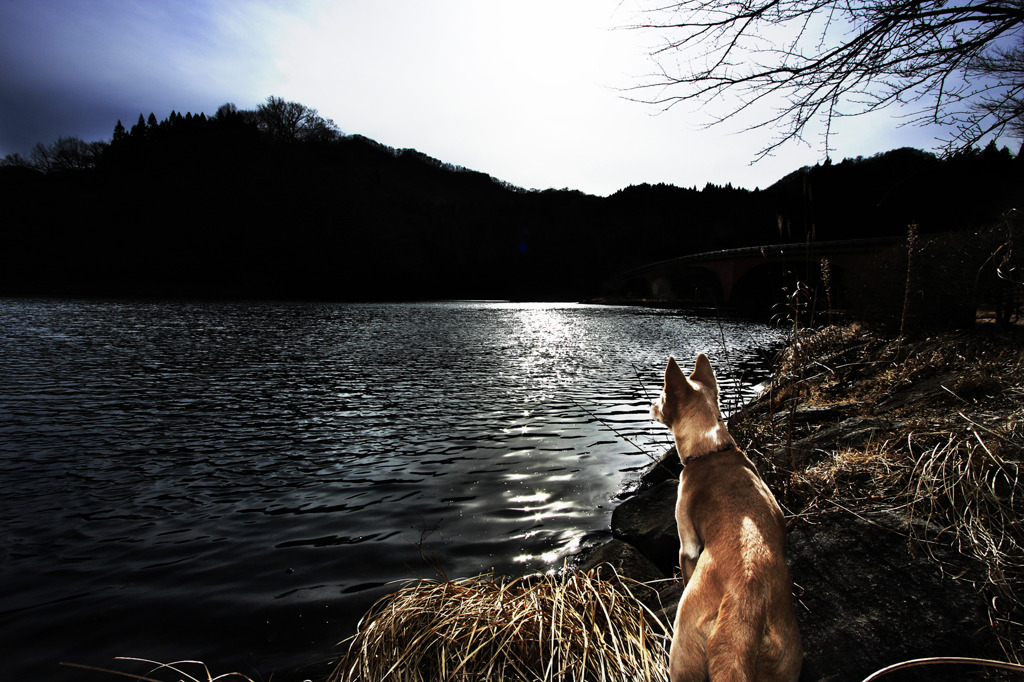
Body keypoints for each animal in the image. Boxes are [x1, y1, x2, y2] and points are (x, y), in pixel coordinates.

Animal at [651, 352, 802, 679]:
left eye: (663, 396)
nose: (651, 405)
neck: (712, 448)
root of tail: (746, 604)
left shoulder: (687, 544)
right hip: (784, 662)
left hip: (684, 651)